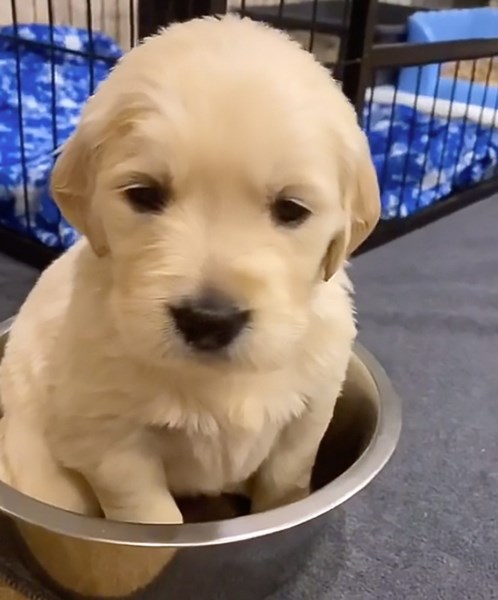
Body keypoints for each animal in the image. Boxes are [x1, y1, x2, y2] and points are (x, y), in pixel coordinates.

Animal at [0, 12, 378, 520]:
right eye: (143, 195)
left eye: (291, 208)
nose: (208, 320)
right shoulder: (109, 442)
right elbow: (152, 513)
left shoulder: (310, 412)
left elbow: (285, 480)